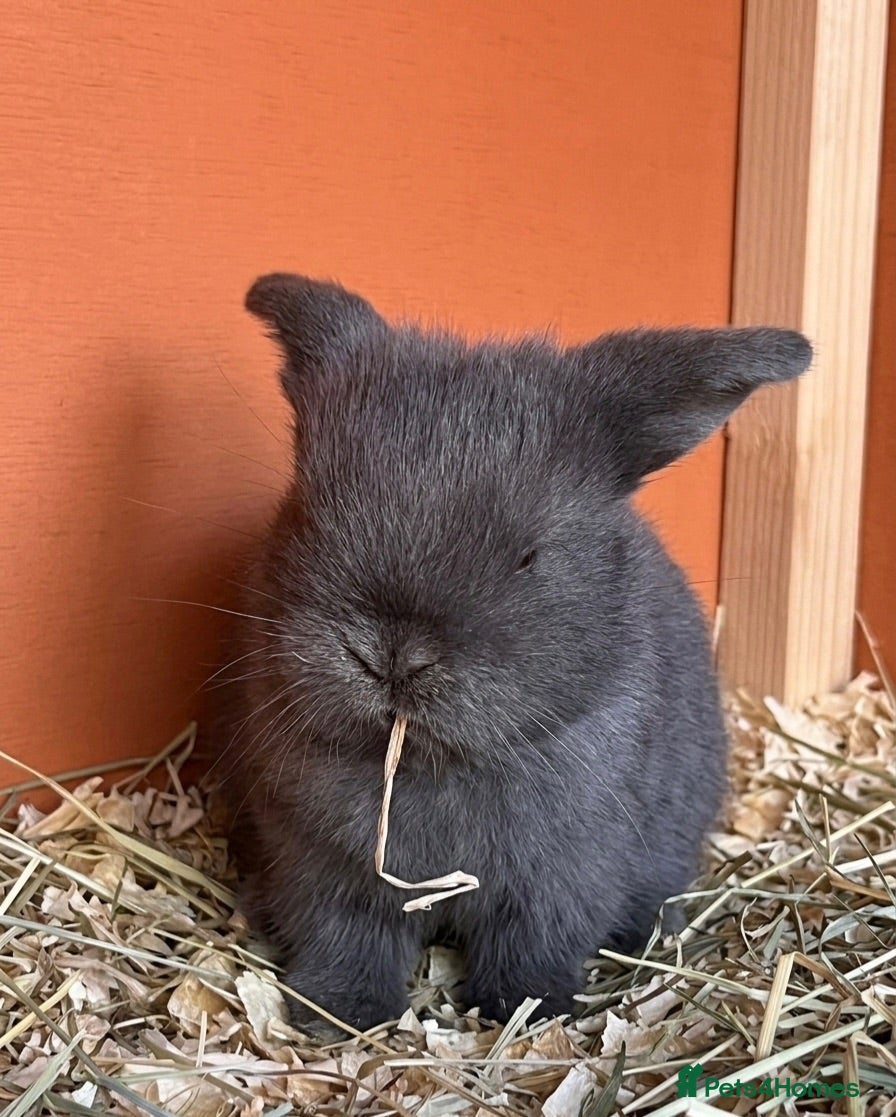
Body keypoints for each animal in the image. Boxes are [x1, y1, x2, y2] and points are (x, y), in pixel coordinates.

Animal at [219, 273, 812, 1032]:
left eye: (530, 555)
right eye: (305, 512)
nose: (392, 655)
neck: (429, 763)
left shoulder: (564, 876)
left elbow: (532, 946)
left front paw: (525, 1013)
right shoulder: (323, 868)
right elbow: (347, 941)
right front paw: (338, 1015)